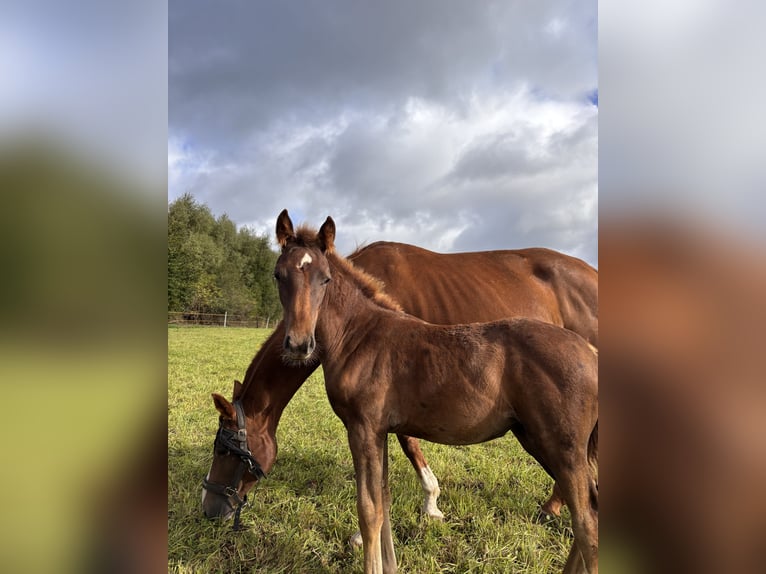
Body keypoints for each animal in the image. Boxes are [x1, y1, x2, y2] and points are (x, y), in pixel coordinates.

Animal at [202, 226, 598, 538]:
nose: (208, 508)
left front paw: (427, 504)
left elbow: (407, 443)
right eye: (277, 276)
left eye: (223, 449)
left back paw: (553, 507)